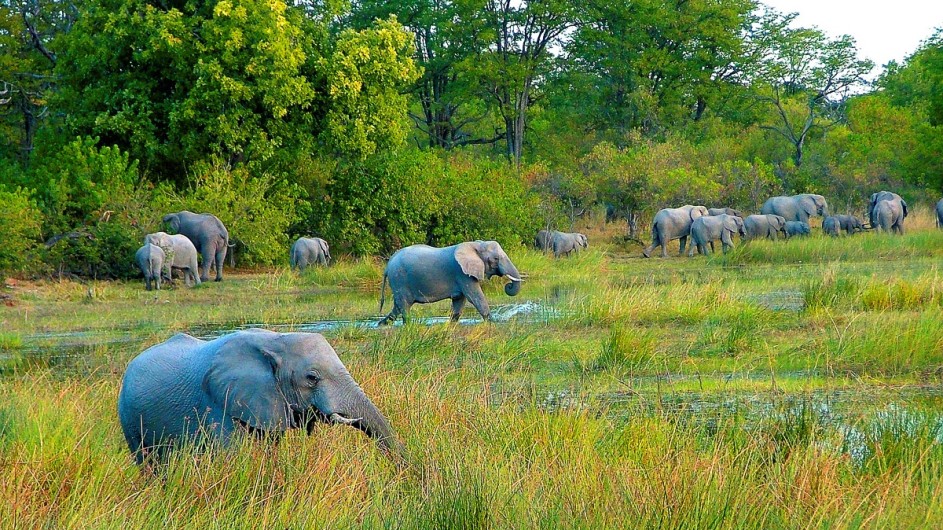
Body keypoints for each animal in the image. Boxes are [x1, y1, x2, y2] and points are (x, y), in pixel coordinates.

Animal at [118, 328, 398, 464]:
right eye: (312, 378)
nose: (402, 475)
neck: (275, 341)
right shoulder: (217, 403)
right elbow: (230, 458)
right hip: (129, 420)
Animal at [378, 239, 524, 322]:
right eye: (495, 259)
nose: (508, 286)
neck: (476, 244)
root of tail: (387, 266)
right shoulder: (462, 273)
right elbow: (475, 298)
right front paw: (493, 323)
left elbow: (459, 302)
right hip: (399, 279)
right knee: (404, 307)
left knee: (397, 308)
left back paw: (382, 325)